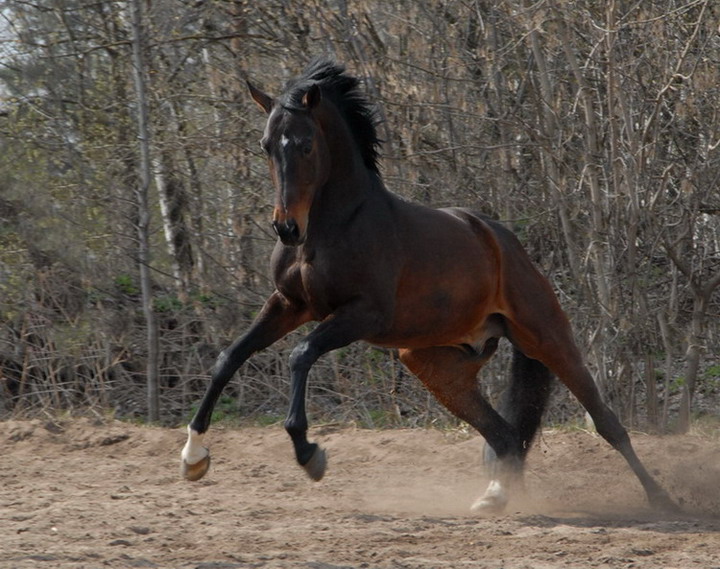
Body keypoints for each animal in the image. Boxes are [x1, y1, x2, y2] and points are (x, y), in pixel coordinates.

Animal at [180, 58, 676, 516]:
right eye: (266, 145)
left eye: (304, 144)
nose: (286, 228)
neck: (332, 228)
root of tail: (503, 241)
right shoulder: (289, 304)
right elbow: (229, 358)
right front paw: (193, 457)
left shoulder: (360, 315)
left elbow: (299, 355)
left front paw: (309, 454)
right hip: (434, 364)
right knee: (505, 434)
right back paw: (495, 497)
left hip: (547, 339)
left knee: (606, 423)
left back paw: (663, 498)